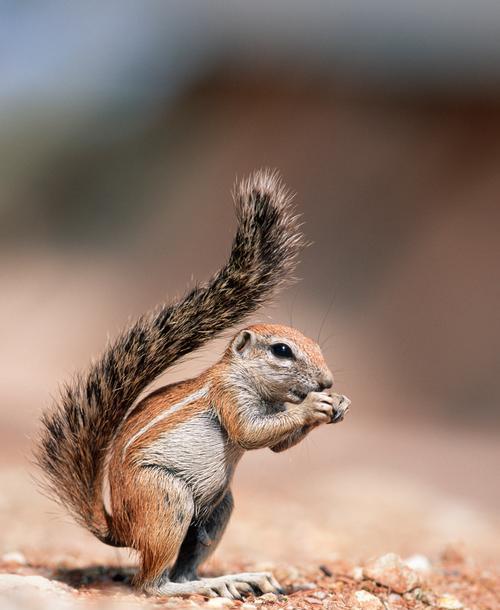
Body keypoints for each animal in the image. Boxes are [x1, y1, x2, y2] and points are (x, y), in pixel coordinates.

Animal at [35, 169, 350, 596]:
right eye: (282, 350)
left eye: (317, 346)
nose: (326, 380)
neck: (244, 377)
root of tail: (120, 527)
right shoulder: (228, 396)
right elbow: (250, 433)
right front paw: (313, 405)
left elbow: (277, 446)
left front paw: (338, 404)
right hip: (167, 501)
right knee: (150, 583)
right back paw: (197, 587)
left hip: (217, 510)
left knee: (184, 564)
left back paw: (231, 580)